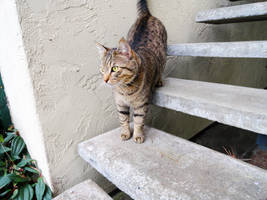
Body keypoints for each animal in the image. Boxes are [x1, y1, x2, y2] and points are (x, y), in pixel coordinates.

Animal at [96, 0, 168, 144]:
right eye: (102, 70)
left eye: (114, 68)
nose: (105, 80)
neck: (124, 89)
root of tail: (147, 15)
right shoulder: (120, 104)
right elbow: (123, 119)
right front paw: (125, 133)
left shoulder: (141, 104)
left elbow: (138, 121)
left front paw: (138, 135)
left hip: (164, 53)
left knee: (161, 68)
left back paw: (159, 80)